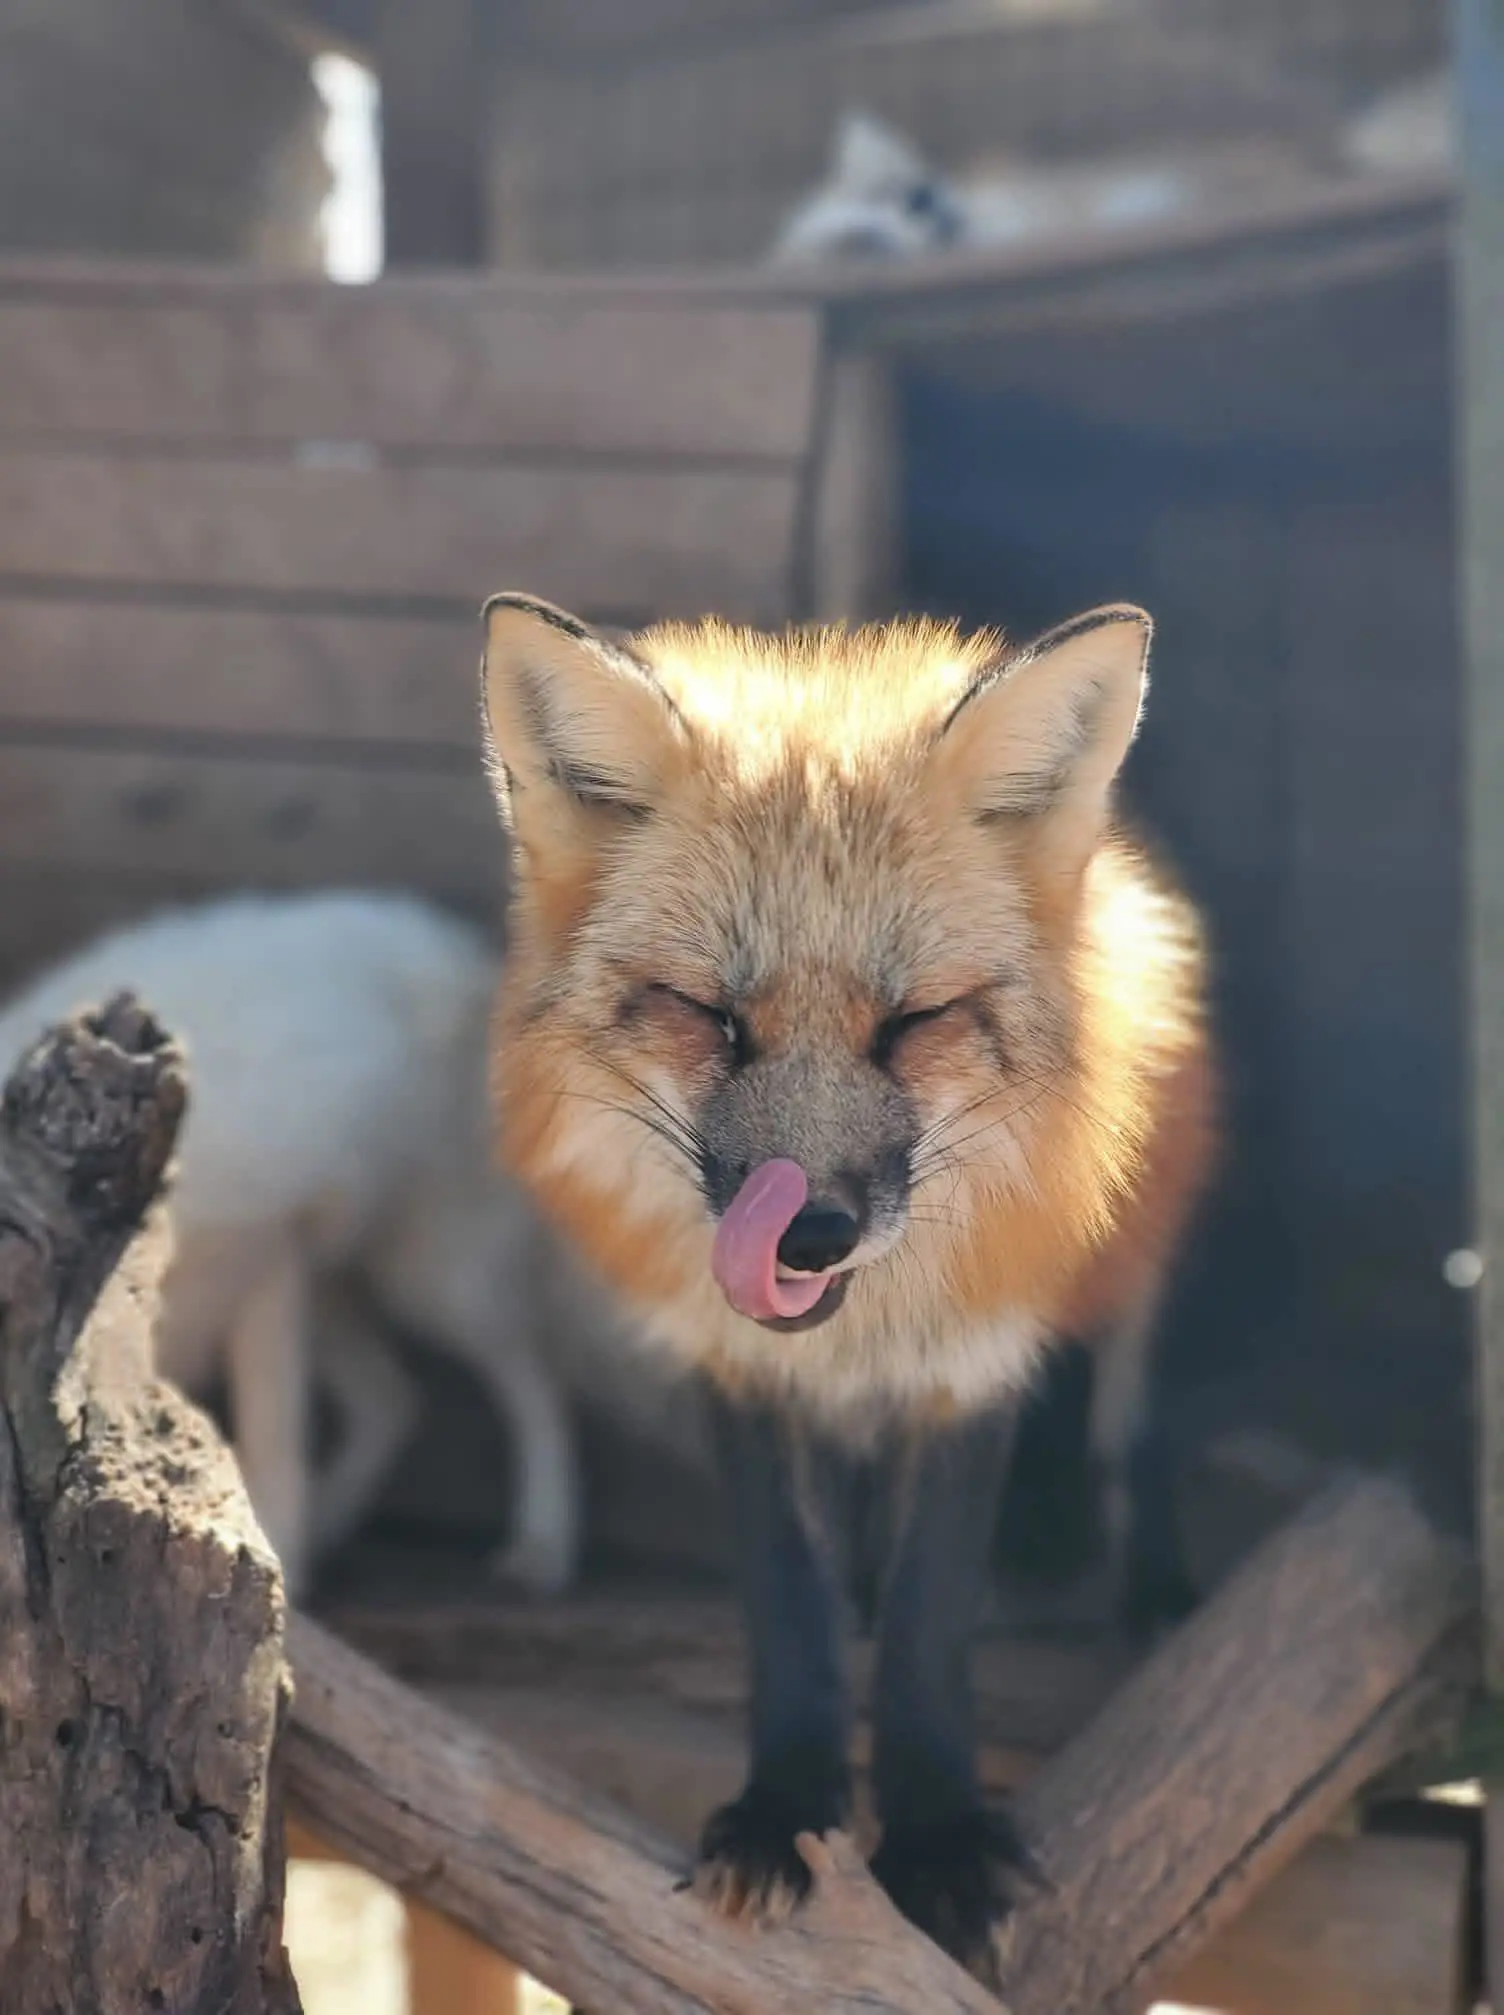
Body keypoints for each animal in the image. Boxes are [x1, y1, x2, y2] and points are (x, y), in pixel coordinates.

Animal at [478, 591, 1216, 1981]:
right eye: (709, 1018)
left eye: (912, 1021)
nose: (808, 1233)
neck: (855, 1340)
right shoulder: (743, 1378)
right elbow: (794, 1607)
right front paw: (785, 1810)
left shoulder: (974, 1360)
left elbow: (929, 1621)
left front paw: (934, 1840)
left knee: (1130, 1403)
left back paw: (1147, 1581)